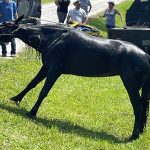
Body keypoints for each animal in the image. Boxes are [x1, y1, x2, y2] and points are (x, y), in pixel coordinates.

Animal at [0, 17, 150, 141]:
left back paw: (134, 135)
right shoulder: (46, 68)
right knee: (143, 107)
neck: (54, 38)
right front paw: (16, 98)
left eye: (5, 25)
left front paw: (32, 112)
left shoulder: (54, 70)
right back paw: (140, 132)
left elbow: (43, 92)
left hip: (131, 84)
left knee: (138, 107)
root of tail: (146, 55)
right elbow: (31, 83)